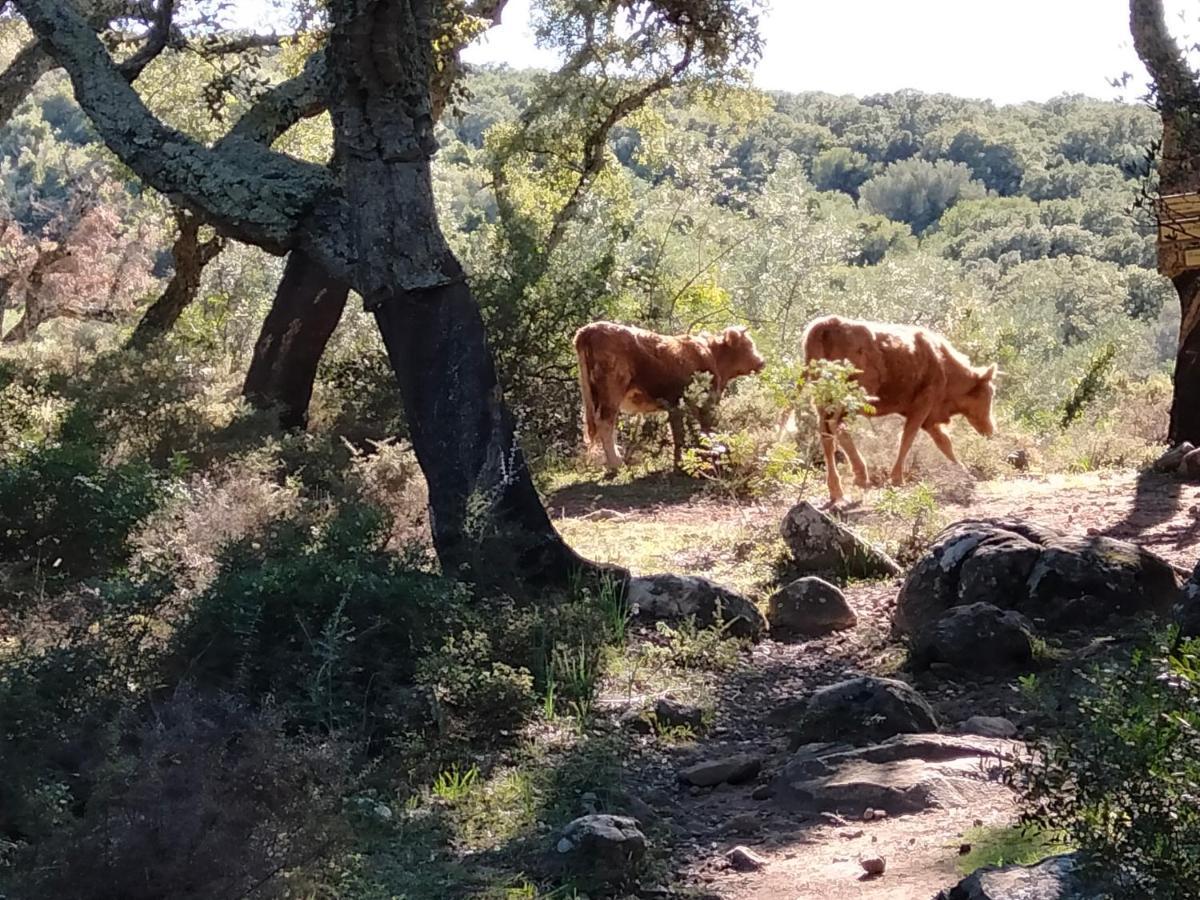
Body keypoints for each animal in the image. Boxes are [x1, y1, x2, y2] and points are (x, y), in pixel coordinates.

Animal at [573, 324, 763, 480]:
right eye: (747, 345)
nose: (762, 361)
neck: (711, 354)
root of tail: (590, 329)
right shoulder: (703, 404)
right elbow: (705, 430)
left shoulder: (674, 405)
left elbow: (678, 433)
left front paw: (680, 463)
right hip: (611, 392)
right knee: (605, 424)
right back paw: (616, 464)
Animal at [801, 314, 998, 504]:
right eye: (990, 393)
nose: (991, 430)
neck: (942, 364)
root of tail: (826, 325)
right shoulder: (922, 406)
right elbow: (907, 438)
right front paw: (897, 479)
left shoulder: (929, 418)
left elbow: (943, 442)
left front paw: (964, 471)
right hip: (851, 397)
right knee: (836, 425)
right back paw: (861, 476)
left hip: (823, 401)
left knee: (826, 436)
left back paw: (837, 492)